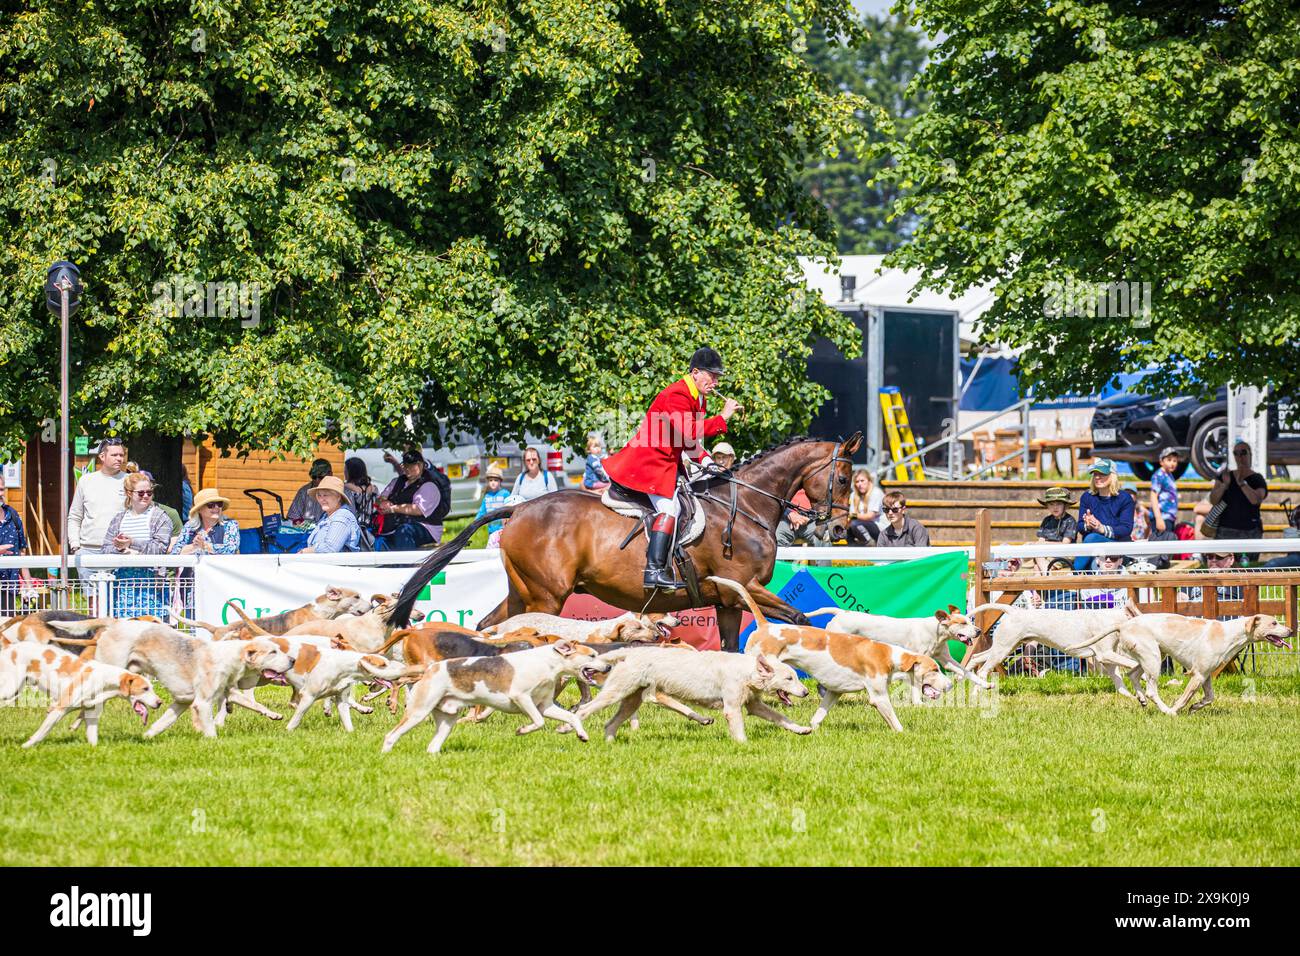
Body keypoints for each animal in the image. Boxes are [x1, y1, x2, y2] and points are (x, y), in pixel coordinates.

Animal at [395, 434, 863, 655]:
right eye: (842, 478)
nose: (840, 528)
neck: (747, 504)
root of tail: (518, 508)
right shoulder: (747, 589)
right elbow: (799, 618)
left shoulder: (729, 600)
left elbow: (732, 649)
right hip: (545, 597)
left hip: (523, 592)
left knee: (487, 626)